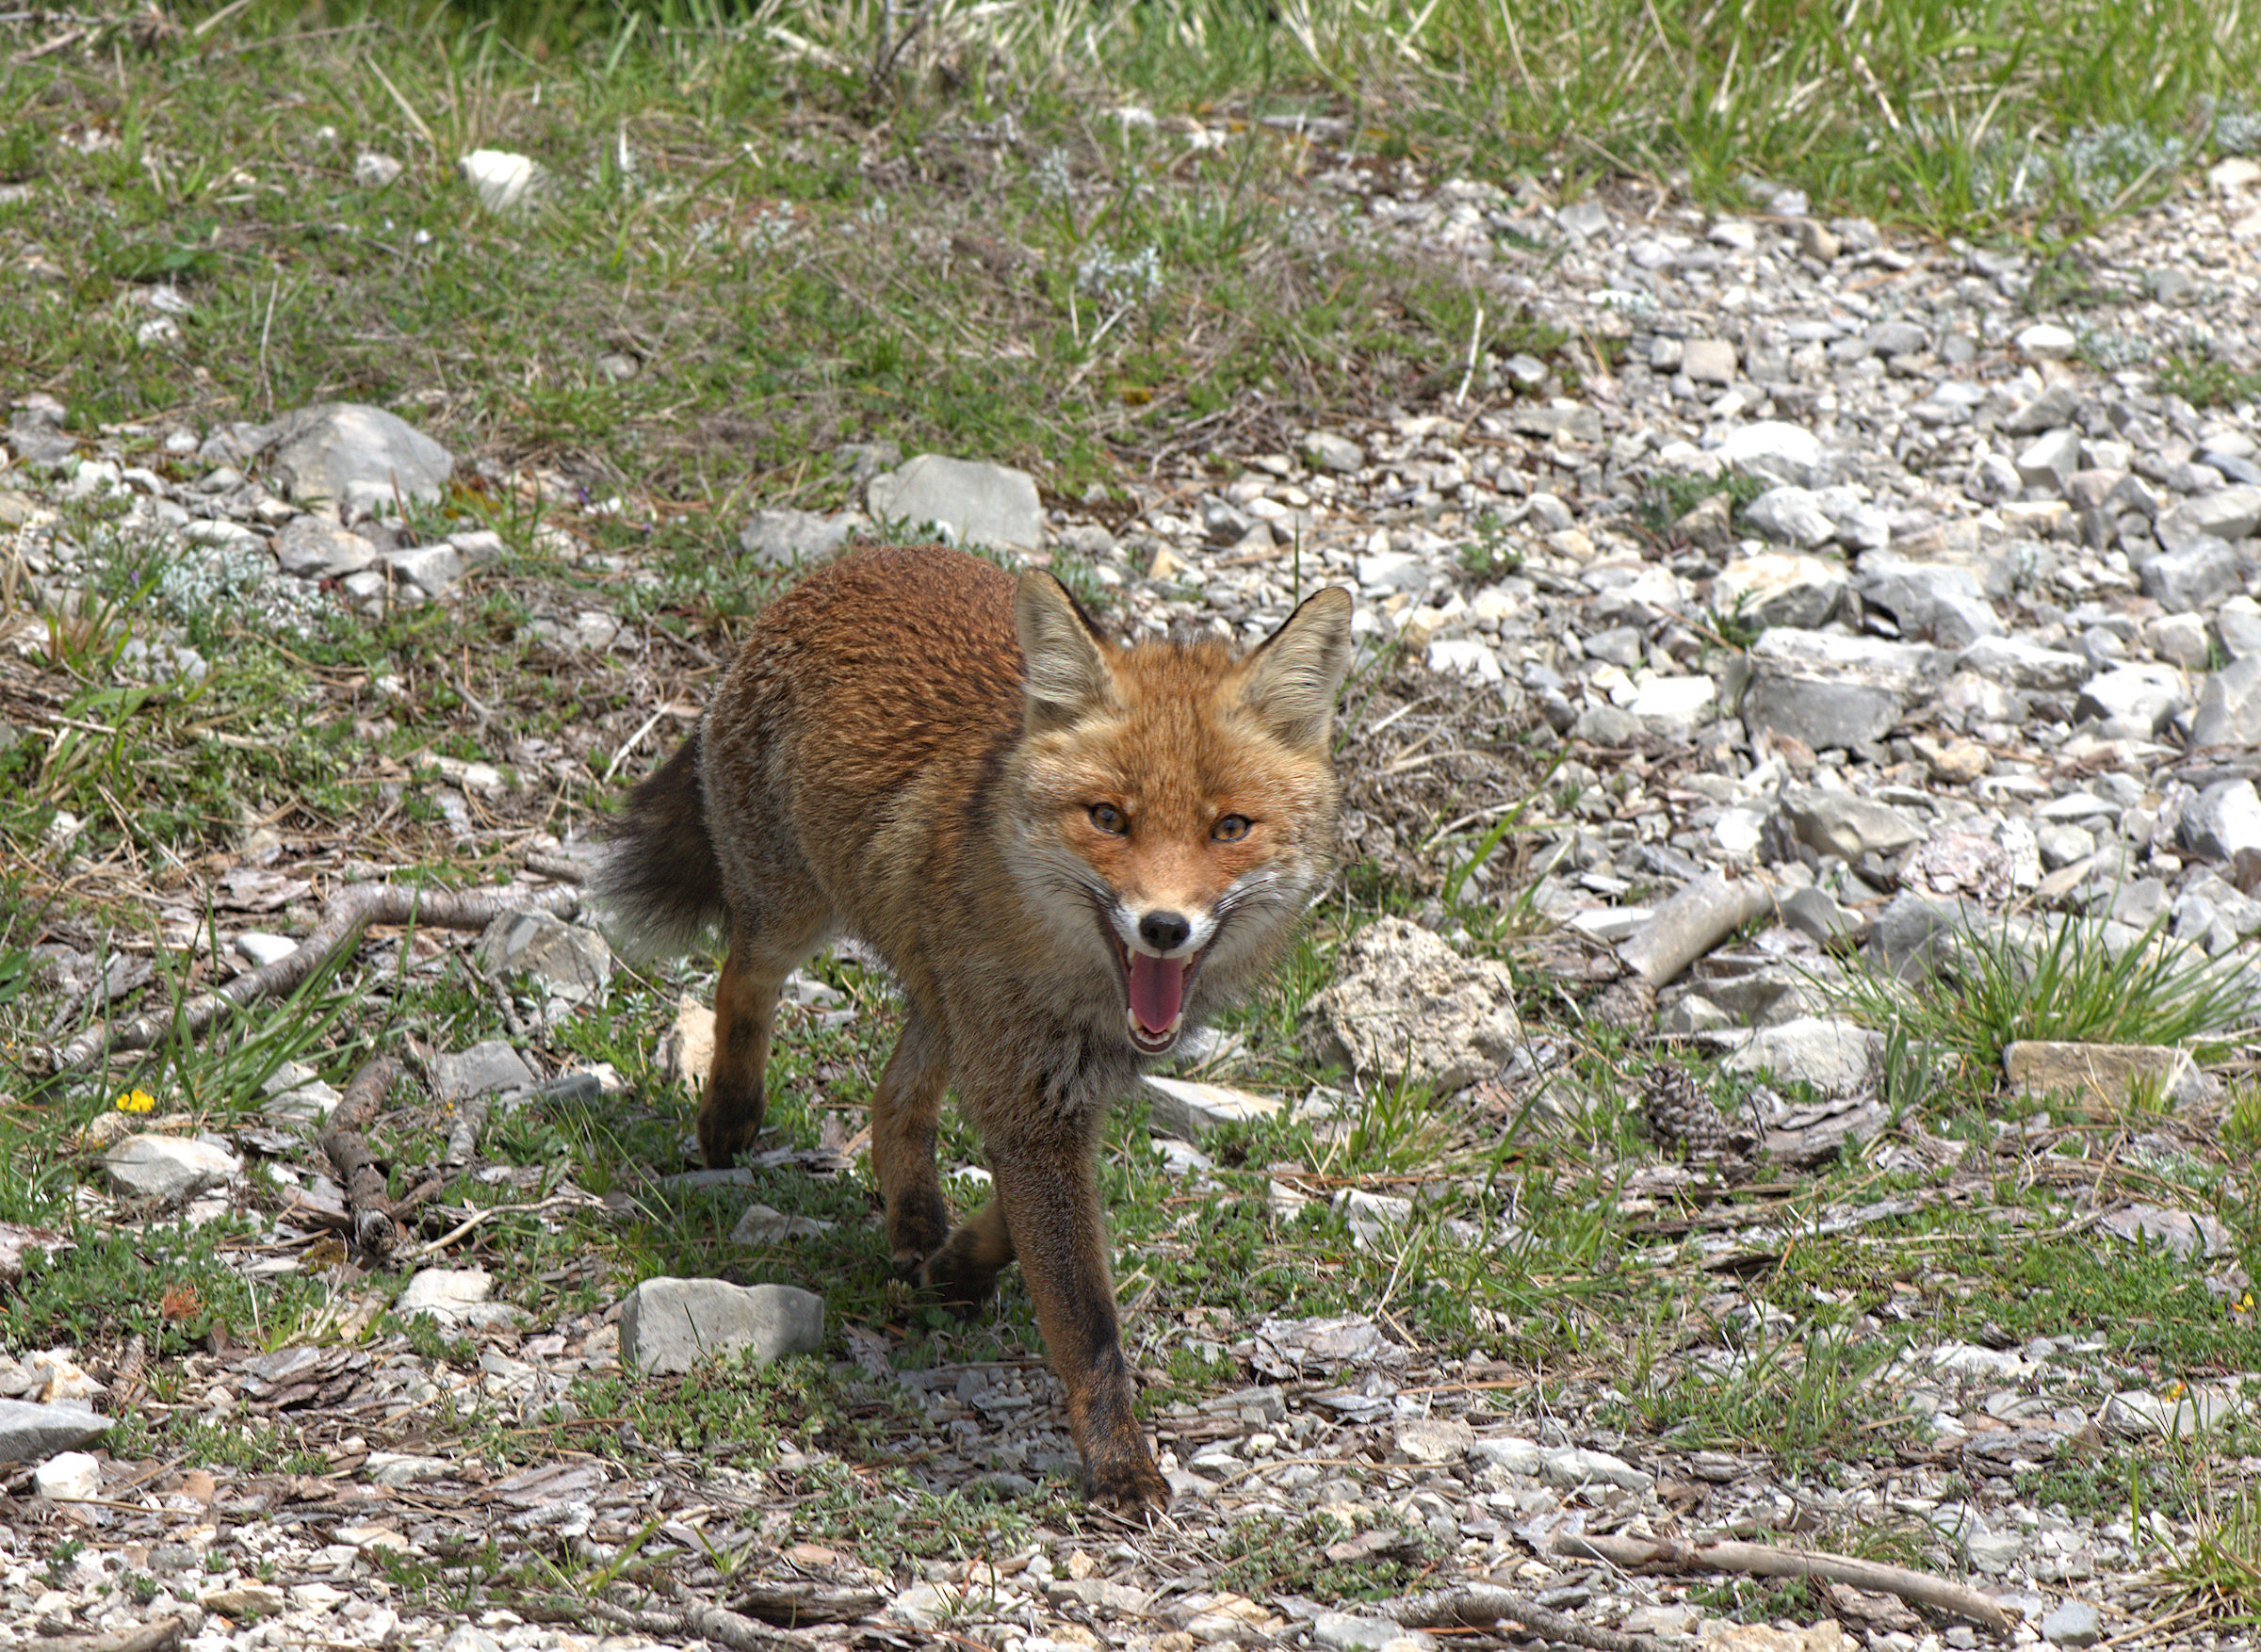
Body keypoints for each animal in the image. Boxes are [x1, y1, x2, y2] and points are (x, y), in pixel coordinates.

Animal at [594, 543, 1353, 1511]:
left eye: (1231, 828)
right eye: (1108, 818)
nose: (1164, 928)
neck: (1080, 996)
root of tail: (859, 559)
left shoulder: (1065, 1090)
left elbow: (1025, 1223)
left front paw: (954, 1262)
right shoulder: (1028, 1093)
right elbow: (1084, 1317)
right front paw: (1119, 1462)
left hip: (936, 998)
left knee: (893, 1103)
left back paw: (916, 1226)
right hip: (791, 914)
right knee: (741, 985)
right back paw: (730, 1115)